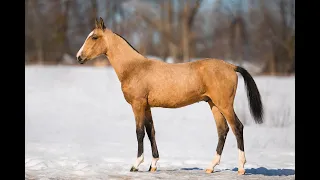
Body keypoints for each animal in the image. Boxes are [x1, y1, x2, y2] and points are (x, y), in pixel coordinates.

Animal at [76, 17, 264, 175]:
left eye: (94, 37)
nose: (79, 57)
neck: (134, 68)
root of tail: (232, 66)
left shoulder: (137, 105)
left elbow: (139, 132)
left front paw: (136, 165)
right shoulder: (147, 106)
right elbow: (151, 131)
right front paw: (153, 165)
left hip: (224, 105)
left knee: (237, 127)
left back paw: (241, 168)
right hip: (214, 105)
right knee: (222, 130)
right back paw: (210, 167)